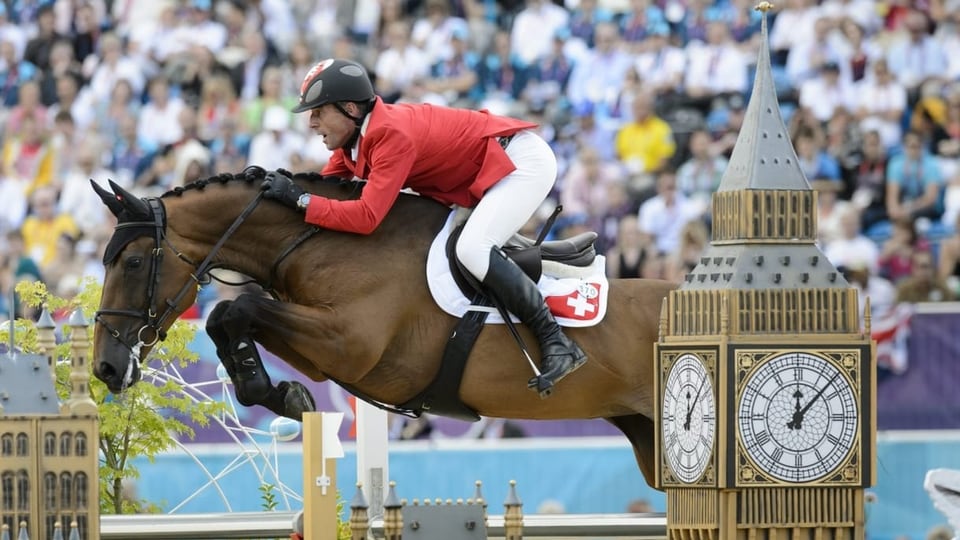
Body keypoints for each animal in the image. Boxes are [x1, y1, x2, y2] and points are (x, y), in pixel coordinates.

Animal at [90, 169, 676, 486]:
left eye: (133, 263)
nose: (106, 368)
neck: (329, 241)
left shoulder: (349, 344)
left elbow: (237, 310)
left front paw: (275, 392)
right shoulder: (323, 348)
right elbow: (231, 317)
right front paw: (279, 393)